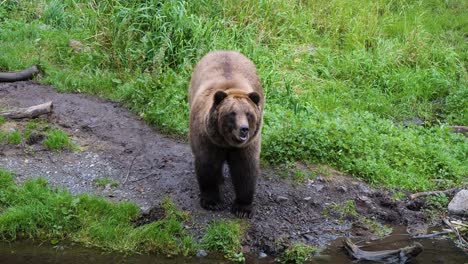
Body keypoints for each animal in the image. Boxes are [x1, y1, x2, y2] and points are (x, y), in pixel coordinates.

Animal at [189, 50, 264, 218]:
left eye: (248, 113)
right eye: (232, 113)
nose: (244, 129)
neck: (227, 142)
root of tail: (225, 50)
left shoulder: (247, 145)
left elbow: (245, 170)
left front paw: (242, 208)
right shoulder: (207, 138)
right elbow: (207, 164)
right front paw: (212, 201)